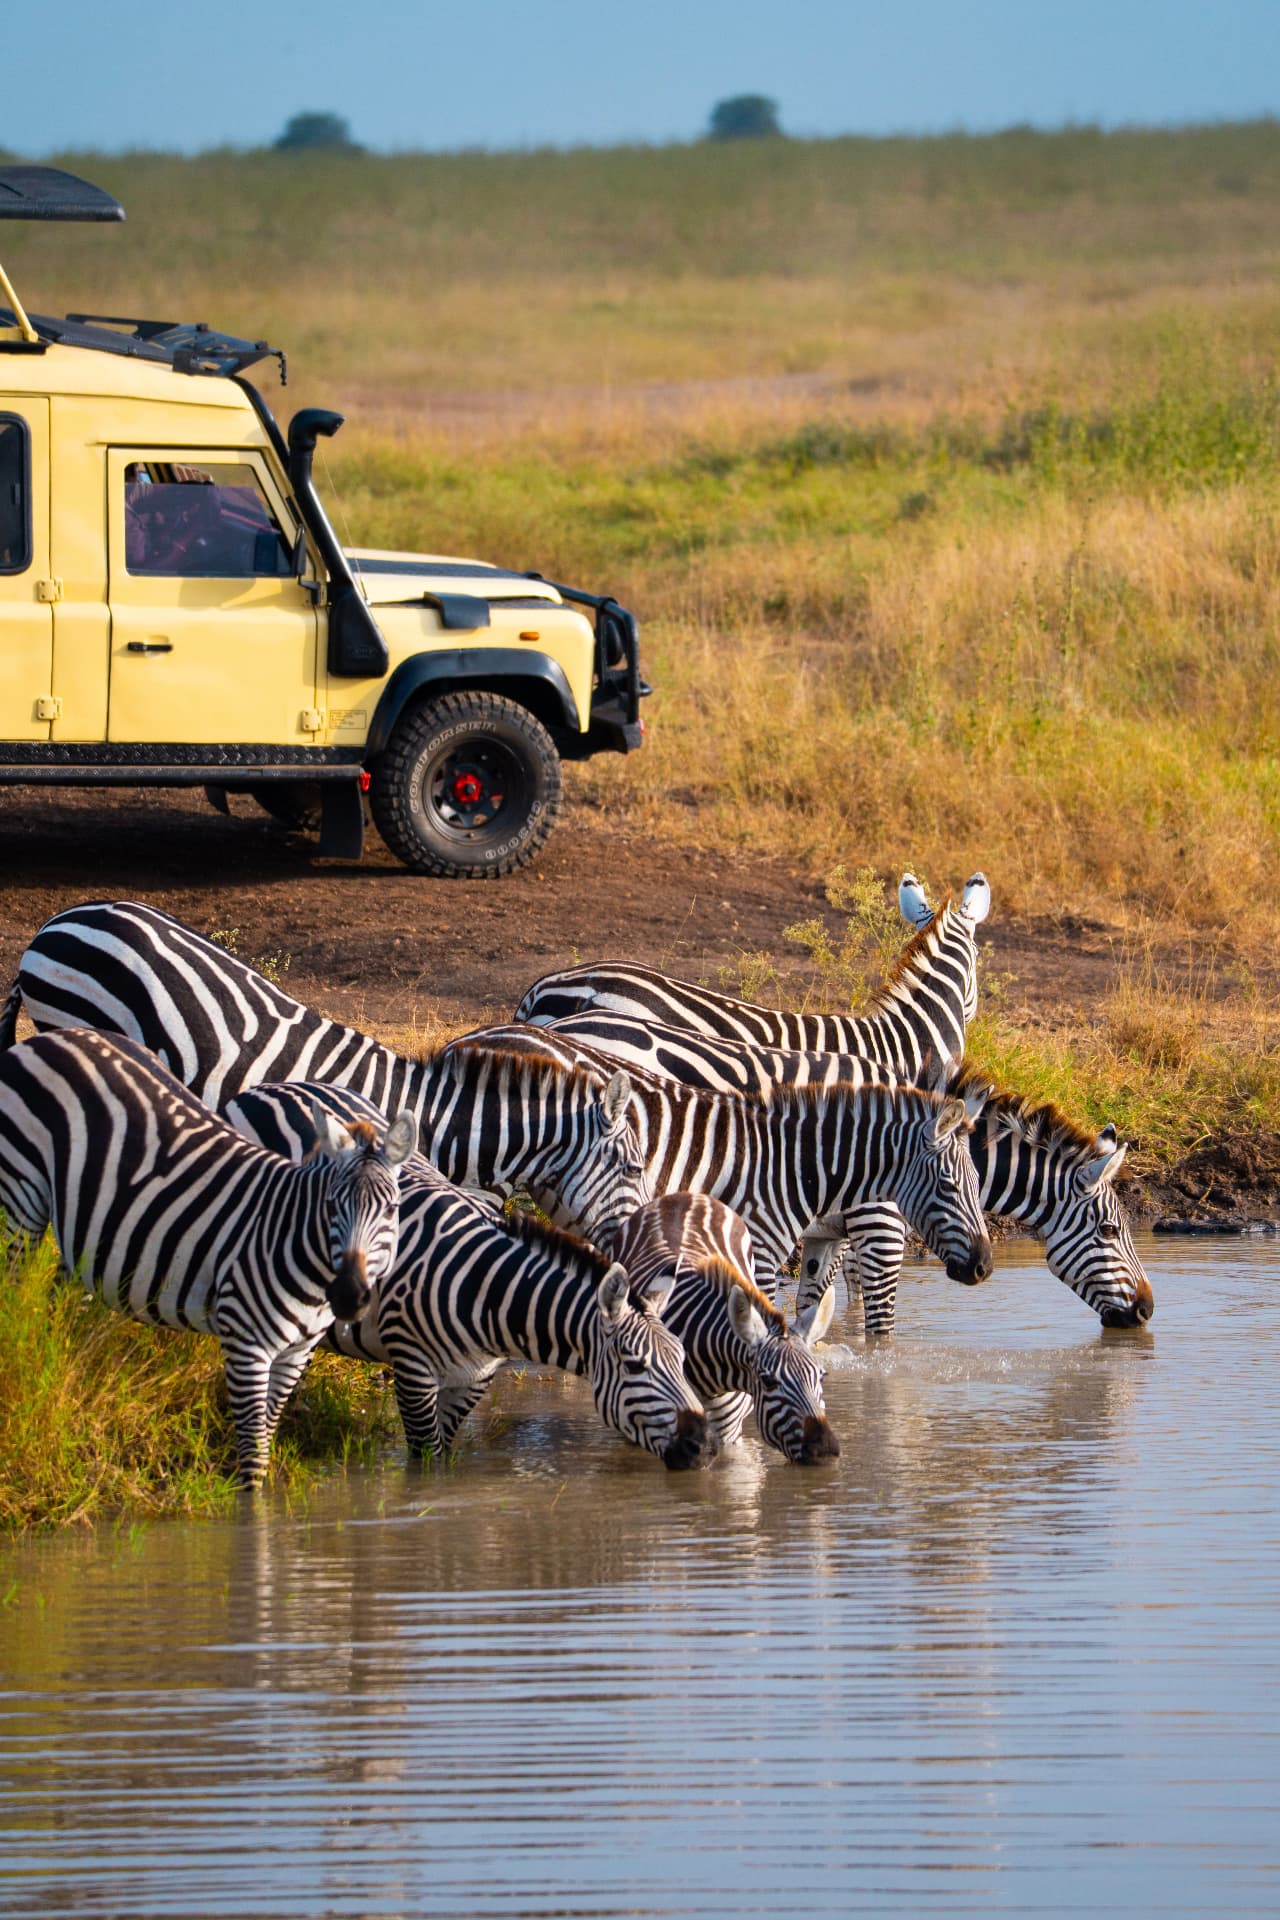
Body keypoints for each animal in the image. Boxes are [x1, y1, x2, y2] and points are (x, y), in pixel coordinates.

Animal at [0, 1029, 415, 1486]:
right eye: (330, 1206)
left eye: (392, 1209)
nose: (348, 1296)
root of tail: (56, 1036)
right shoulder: (246, 1344)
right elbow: (252, 1458)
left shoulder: (294, 1354)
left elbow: (268, 1434)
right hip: (23, 1193)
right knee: (14, 1289)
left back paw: (64, 1355)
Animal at [224, 1079, 712, 1469]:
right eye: (635, 1365)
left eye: (683, 1360)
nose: (702, 1446)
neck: (489, 1290)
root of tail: (270, 1087)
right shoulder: (413, 1369)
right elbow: (426, 1464)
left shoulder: (473, 1380)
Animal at [438, 1023, 994, 1297]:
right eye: (949, 1186)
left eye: (978, 1184)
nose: (986, 1267)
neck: (797, 1161)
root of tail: (460, 1042)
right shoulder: (773, 1249)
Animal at [517, 1012, 1153, 1332]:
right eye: (1111, 1232)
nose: (1148, 1310)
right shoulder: (882, 1230)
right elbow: (880, 1329)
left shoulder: (829, 1234)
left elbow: (817, 1310)